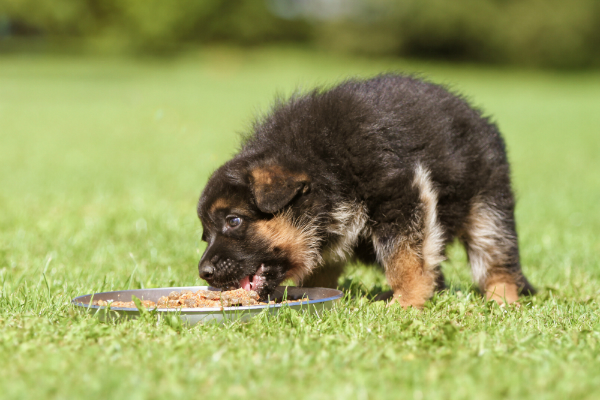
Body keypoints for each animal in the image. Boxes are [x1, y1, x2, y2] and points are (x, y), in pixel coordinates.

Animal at [197, 73, 536, 308]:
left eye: (234, 221)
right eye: (205, 235)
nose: (203, 272)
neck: (322, 162)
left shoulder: (401, 195)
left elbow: (405, 259)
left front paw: (406, 303)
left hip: (487, 206)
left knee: (495, 259)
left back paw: (502, 301)